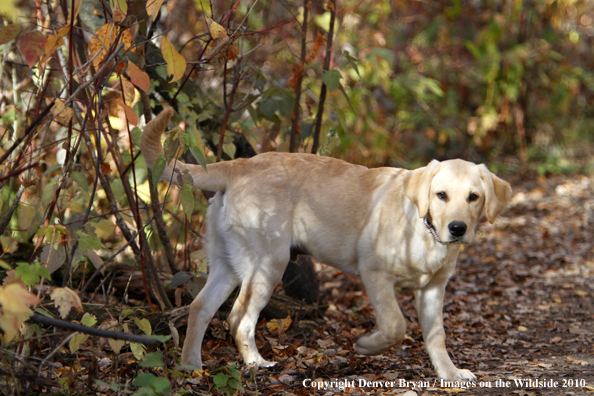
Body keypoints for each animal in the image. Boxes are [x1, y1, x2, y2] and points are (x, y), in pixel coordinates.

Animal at [141, 108, 512, 380]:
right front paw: (368, 346)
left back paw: (192, 366)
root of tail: (240, 165)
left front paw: (450, 374)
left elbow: (437, 335)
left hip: (228, 263)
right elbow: (396, 324)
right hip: (268, 263)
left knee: (200, 307)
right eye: (441, 195)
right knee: (238, 316)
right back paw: (254, 363)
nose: (457, 228)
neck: (423, 229)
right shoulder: (375, 273)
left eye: (474, 197)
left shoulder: (434, 288)